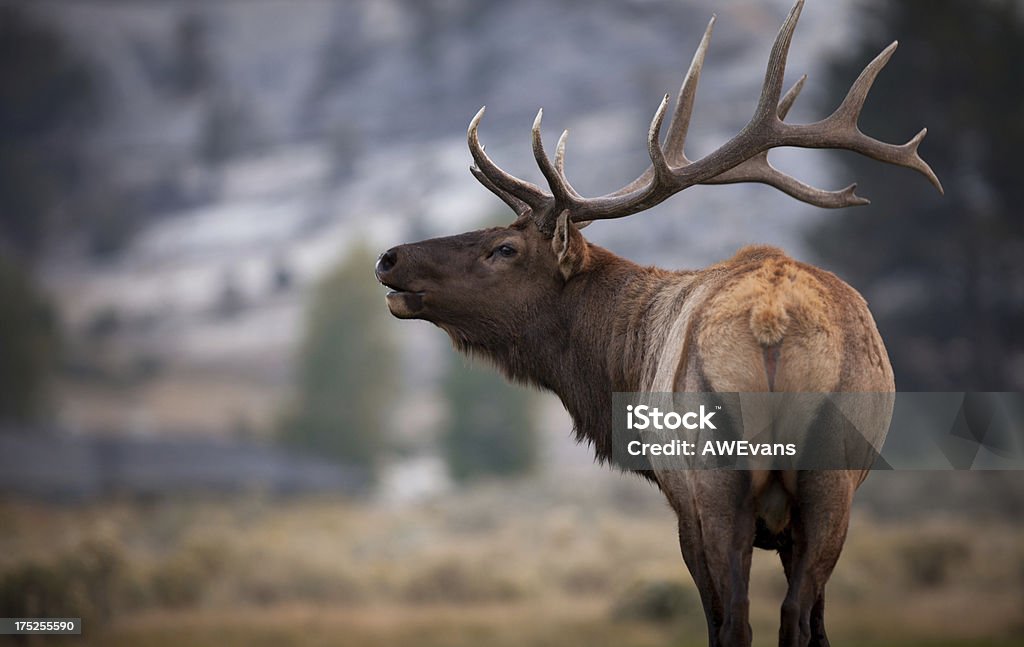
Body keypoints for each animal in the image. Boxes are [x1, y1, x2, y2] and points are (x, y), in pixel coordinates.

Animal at [374, 1, 941, 645]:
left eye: (504, 249)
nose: (388, 258)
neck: (622, 364)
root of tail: (771, 321)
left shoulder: (681, 500)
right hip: (831, 486)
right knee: (795, 615)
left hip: (717, 480)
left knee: (739, 620)